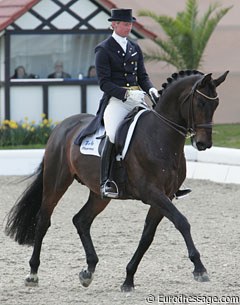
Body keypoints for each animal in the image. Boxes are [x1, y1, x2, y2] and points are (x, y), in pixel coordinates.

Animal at [4, 69, 228, 290]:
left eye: (216, 104)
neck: (160, 136)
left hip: (99, 194)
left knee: (81, 220)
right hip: (56, 181)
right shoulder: (152, 193)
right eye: (200, 103)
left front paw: (128, 278)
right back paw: (33, 274)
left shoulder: (164, 196)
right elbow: (182, 222)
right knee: (44, 220)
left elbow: (147, 236)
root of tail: (62, 126)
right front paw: (199, 268)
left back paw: (88, 271)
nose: (203, 144)